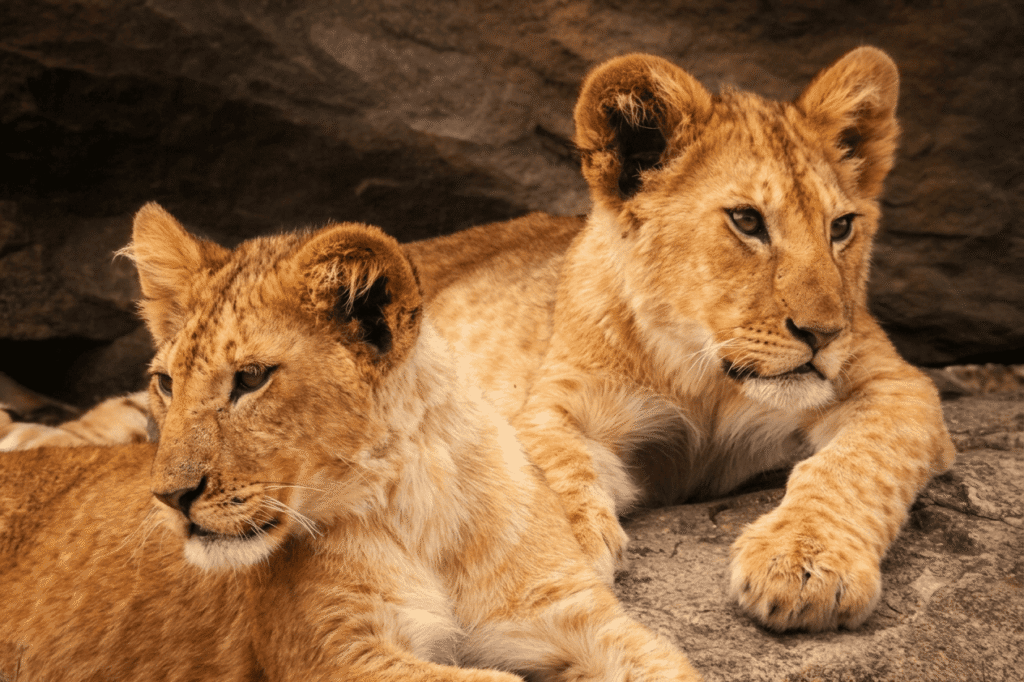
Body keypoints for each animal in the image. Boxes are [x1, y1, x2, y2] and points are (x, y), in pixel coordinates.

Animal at [0, 204, 700, 681]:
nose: (170, 496)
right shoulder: (335, 652)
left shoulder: (572, 614)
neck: (424, 512)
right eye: (166, 383)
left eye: (250, 379)